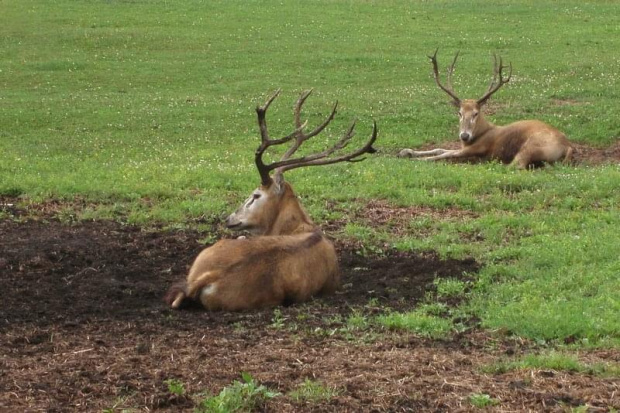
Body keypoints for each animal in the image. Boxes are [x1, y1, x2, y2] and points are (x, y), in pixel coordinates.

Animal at [400, 49, 572, 168]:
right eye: (459, 113)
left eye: (476, 113)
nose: (464, 135)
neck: (481, 133)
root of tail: (568, 146)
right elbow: (440, 149)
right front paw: (406, 151)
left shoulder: (478, 147)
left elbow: (444, 154)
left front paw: (420, 159)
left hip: (532, 146)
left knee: (516, 166)